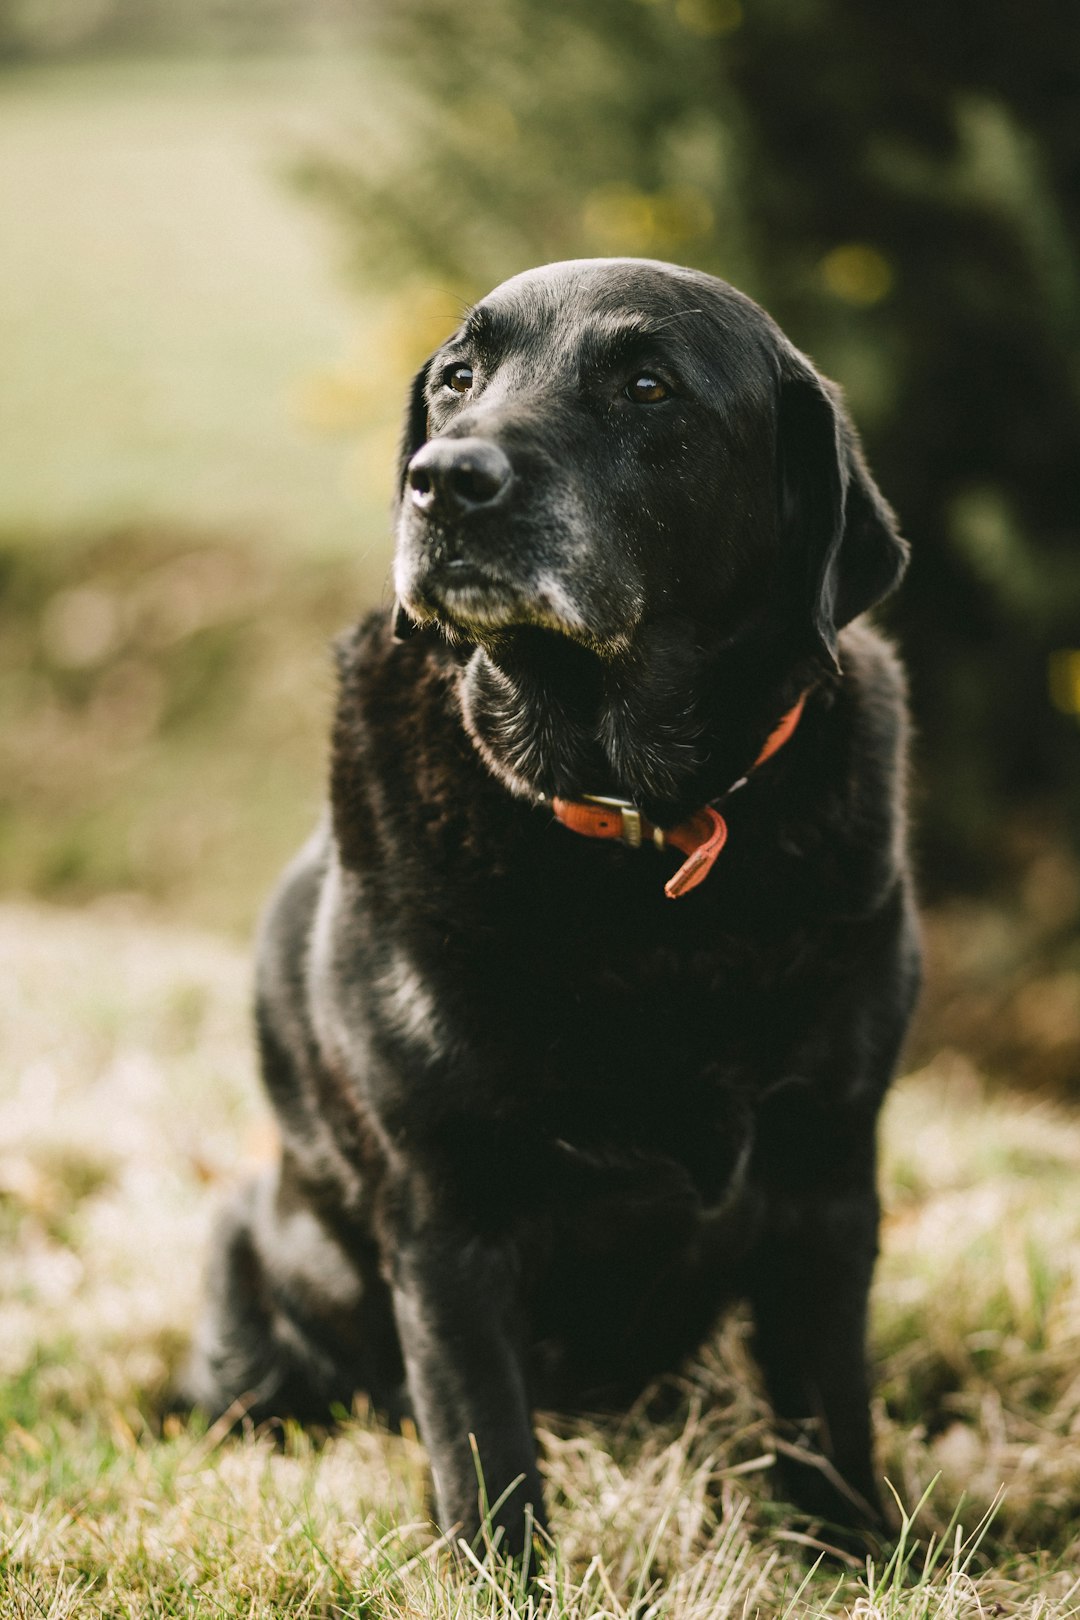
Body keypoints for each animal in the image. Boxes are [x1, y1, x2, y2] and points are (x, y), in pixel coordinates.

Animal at [186, 255, 919, 1555]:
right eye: (456, 379)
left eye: (647, 386)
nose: (444, 479)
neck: (639, 818)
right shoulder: (448, 1213)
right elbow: (485, 1451)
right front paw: (504, 1577)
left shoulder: (828, 1174)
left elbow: (832, 1407)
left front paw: (867, 1557)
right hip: (238, 1249)